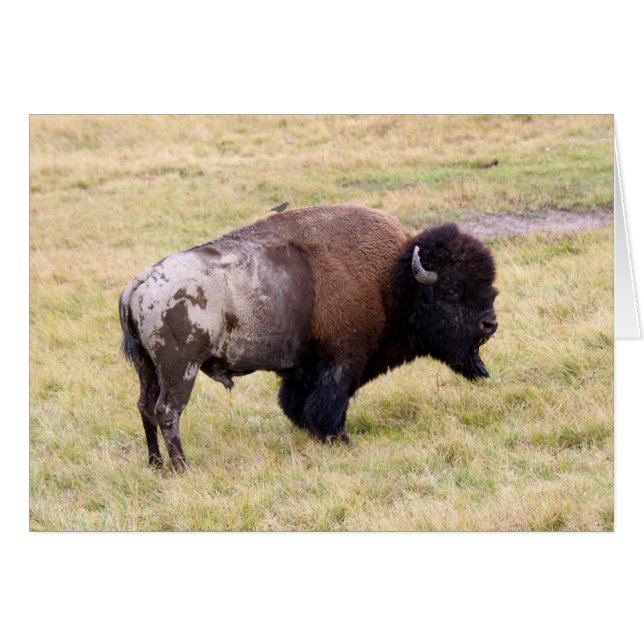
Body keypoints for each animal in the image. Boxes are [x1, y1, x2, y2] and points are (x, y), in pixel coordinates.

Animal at [119, 204, 498, 470]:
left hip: (146, 368)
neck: (391, 280)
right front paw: (342, 441)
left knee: (145, 407)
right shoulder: (342, 362)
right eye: (451, 292)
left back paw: (156, 466)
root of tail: (139, 284)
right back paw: (182, 468)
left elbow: (298, 404)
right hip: (180, 370)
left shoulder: (304, 369)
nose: (490, 324)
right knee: (168, 411)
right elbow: (331, 404)